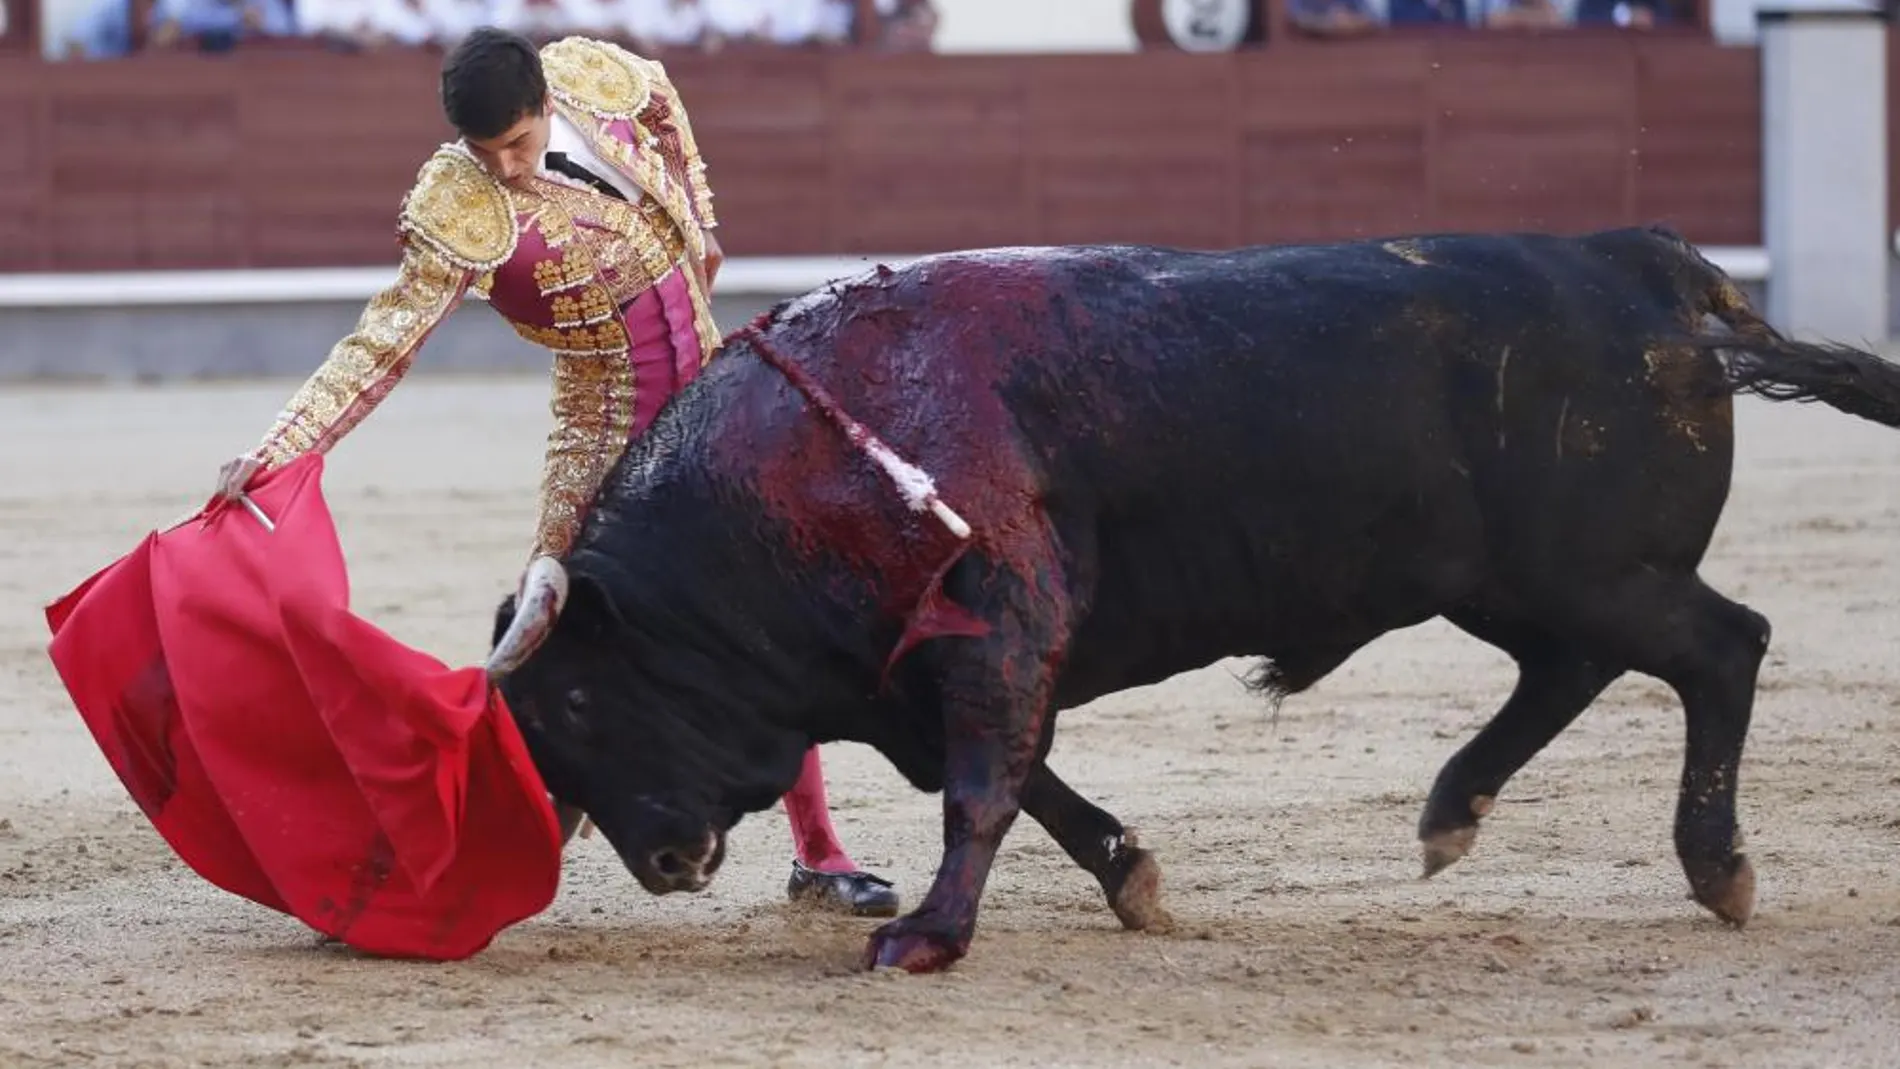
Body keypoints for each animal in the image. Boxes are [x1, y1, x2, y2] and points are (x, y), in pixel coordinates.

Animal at [482, 229, 1900, 972]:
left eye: (582, 702)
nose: (663, 864)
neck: (796, 470)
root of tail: (1650, 270)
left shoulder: (1001, 626)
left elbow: (982, 786)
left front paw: (928, 937)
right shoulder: (908, 680)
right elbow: (1025, 786)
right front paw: (1134, 877)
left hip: (1590, 572)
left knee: (1721, 648)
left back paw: (1715, 868)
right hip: (1508, 579)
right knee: (1575, 668)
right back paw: (1452, 813)